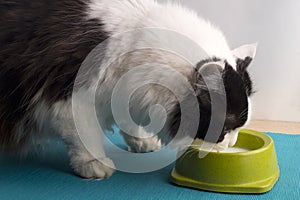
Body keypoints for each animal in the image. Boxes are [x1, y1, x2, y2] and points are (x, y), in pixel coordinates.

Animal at [0, 0, 256, 178]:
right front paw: (94, 163)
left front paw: (142, 140)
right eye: (225, 128)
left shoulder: (123, 92)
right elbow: (84, 134)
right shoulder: (72, 98)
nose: (231, 144)